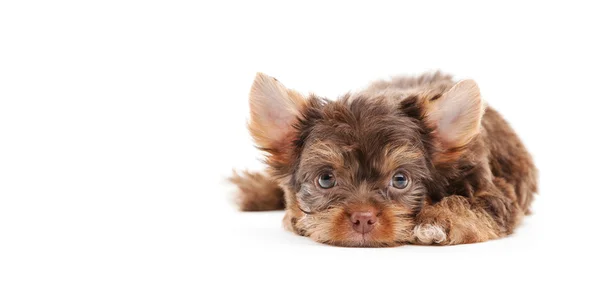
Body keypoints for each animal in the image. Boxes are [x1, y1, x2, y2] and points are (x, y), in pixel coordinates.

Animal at [231, 71, 540, 246]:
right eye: (326, 179)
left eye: (400, 180)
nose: (363, 218)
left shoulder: (494, 195)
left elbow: (470, 206)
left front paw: (436, 220)